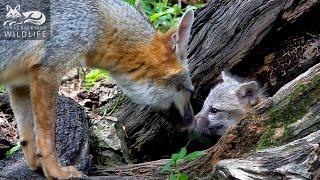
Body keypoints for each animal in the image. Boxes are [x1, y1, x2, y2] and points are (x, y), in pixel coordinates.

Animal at [0, 0, 195, 178]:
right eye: (190, 91)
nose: (193, 122)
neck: (98, 19)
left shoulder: (19, 83)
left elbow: (28, 139)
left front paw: (37, 166)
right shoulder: (47, 73)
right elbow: (46, 138)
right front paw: (56, 173)